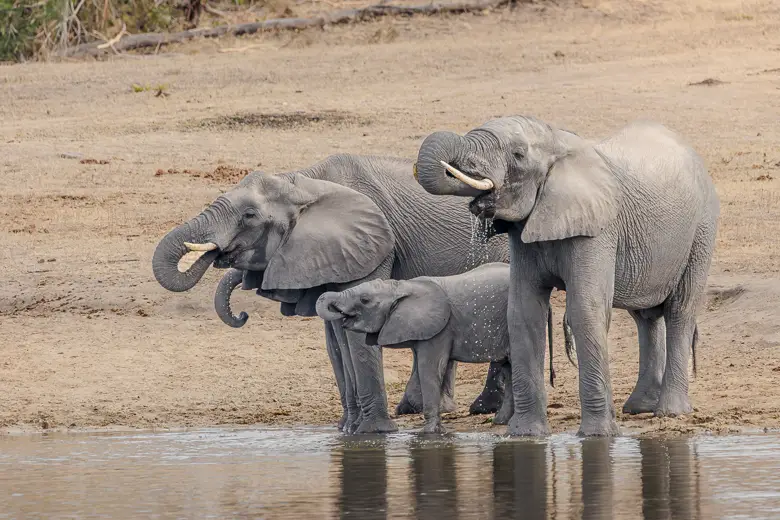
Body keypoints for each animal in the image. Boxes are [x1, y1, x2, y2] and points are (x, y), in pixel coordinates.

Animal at [152, 154, 512, 434]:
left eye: (250, 216)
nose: (242, 314)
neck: (304, 182)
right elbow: (335, 339)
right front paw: (346, 429)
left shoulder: (371, 247)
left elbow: (355, 336)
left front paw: (372, 433)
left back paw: (482, 409)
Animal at [413, 117, 719, 436]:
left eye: (518, 155)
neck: (556, 143)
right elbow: (522, 312)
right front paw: (526, 435)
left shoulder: (598, 227)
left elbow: (584, 309)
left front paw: (598, 436)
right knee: (645, 317)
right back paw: (640, 408)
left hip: (702, 229)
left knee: (680, 311)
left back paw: (671, 412)